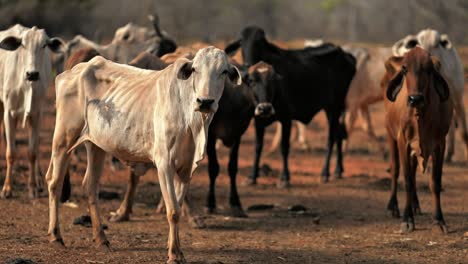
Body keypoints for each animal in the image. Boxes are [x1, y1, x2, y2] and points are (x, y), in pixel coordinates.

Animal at [0, 24, 64, 198]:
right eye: (22, 45)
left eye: (44, 45)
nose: (32, 74)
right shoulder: (8, 112)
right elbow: (11, 152)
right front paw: (7, 188)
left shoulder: (37, 114)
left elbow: (32, 152)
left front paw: (33, 187)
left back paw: (40, 179)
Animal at [46, 46, 241, 262]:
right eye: (195, 69)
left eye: (223, 71)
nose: (205, 101)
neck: (191, 120)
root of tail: (72, 71)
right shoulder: (164, 164)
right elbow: (173, 210)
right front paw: (174, 254)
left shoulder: (186, 168)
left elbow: (178, 205)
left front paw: (176, 249)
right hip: (63, 138)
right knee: (54, 182)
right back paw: (55, 235)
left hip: (96, 145)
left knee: (90, 186)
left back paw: (101, 239)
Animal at [226, 25, 354, 185]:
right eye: (241, 42)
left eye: (260, 42)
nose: (248, 64)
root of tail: (345, 54)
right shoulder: (258, 119)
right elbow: (258, 146)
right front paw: (252, 177)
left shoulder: (286, 118)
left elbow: (284, 147)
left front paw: (285, 178)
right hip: (335, 109)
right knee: (339, 135)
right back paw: (338, 170)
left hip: (334, 108)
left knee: (331, 138)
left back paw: (325, 173)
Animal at [382, 47, 452, 233]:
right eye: (405, 68)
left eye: (428, 69)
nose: (415, 99)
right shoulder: (402, 141)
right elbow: (406, 180)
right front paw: (407, 220)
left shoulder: (440, 143)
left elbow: (435, 182)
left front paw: (439, 220)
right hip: (390, 135)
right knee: (396, 170)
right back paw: (393, 207)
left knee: (413, 174)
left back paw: (415, 206)